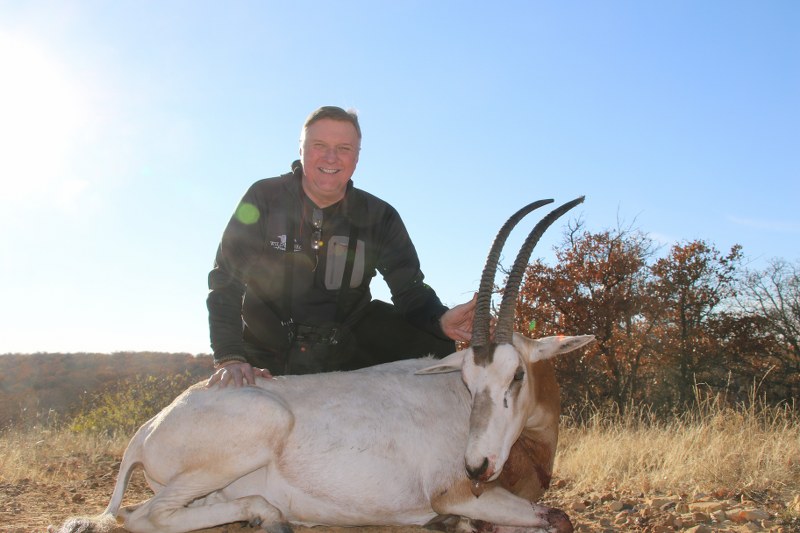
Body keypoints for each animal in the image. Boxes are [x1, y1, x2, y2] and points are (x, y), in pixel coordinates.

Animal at [48, 197, 588, 532]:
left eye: (516, 374)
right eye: (469, 379)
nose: (477, 465)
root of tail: (147, 430)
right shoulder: (453, 492)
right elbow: (556, 518)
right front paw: (454, 522)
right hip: (258, 429)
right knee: (141, 517)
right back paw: (268, 516)